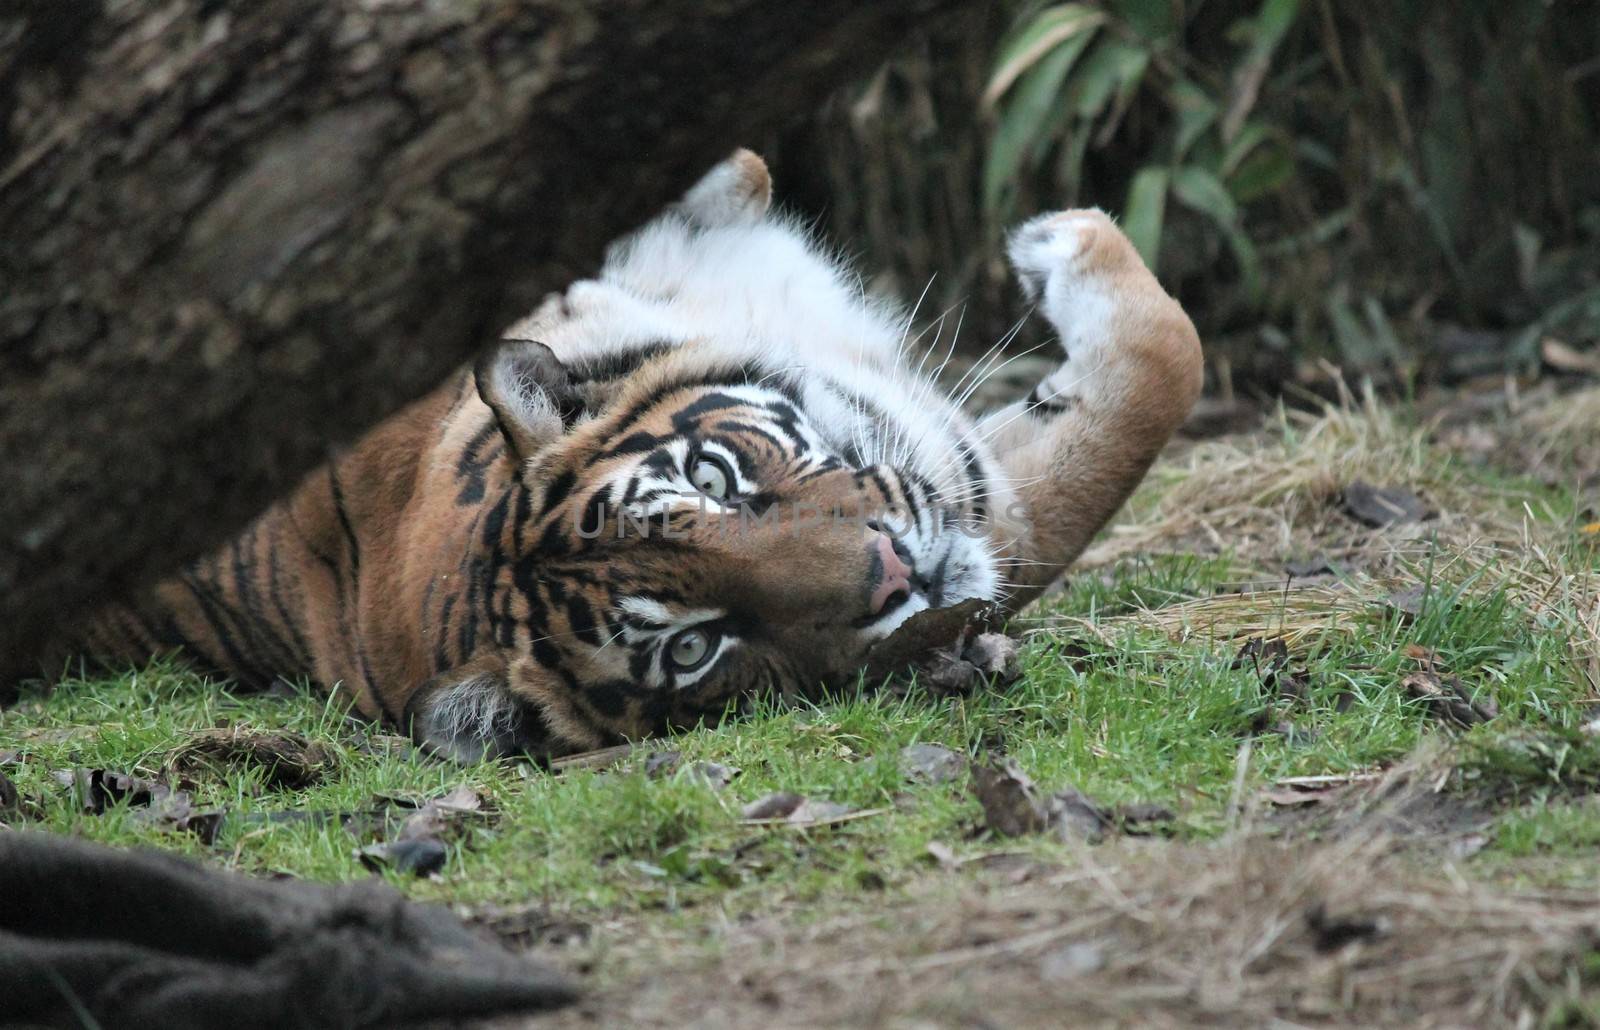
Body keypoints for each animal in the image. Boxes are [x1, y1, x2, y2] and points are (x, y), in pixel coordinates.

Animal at [65, 155, 1203, 764]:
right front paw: (1066, 240)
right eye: (697, 647)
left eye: (712, 480)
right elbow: (1150, 386)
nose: (895, 575)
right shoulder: (982, 500)